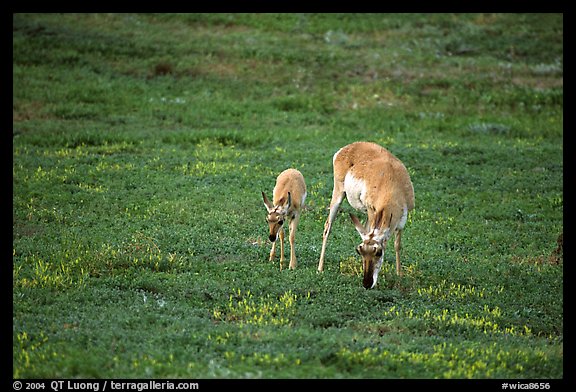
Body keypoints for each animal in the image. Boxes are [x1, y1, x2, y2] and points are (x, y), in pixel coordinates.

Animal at [320, 142, 414, 290]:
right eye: (360, 251)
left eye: (378, 252)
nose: (366, 283)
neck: (391, 183)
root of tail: (349, 147)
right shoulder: (372, 210)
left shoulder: (402, 220)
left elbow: (397, 245)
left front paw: (399, 275)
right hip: (338, 194)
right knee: (327, 227)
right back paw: (320, 268)